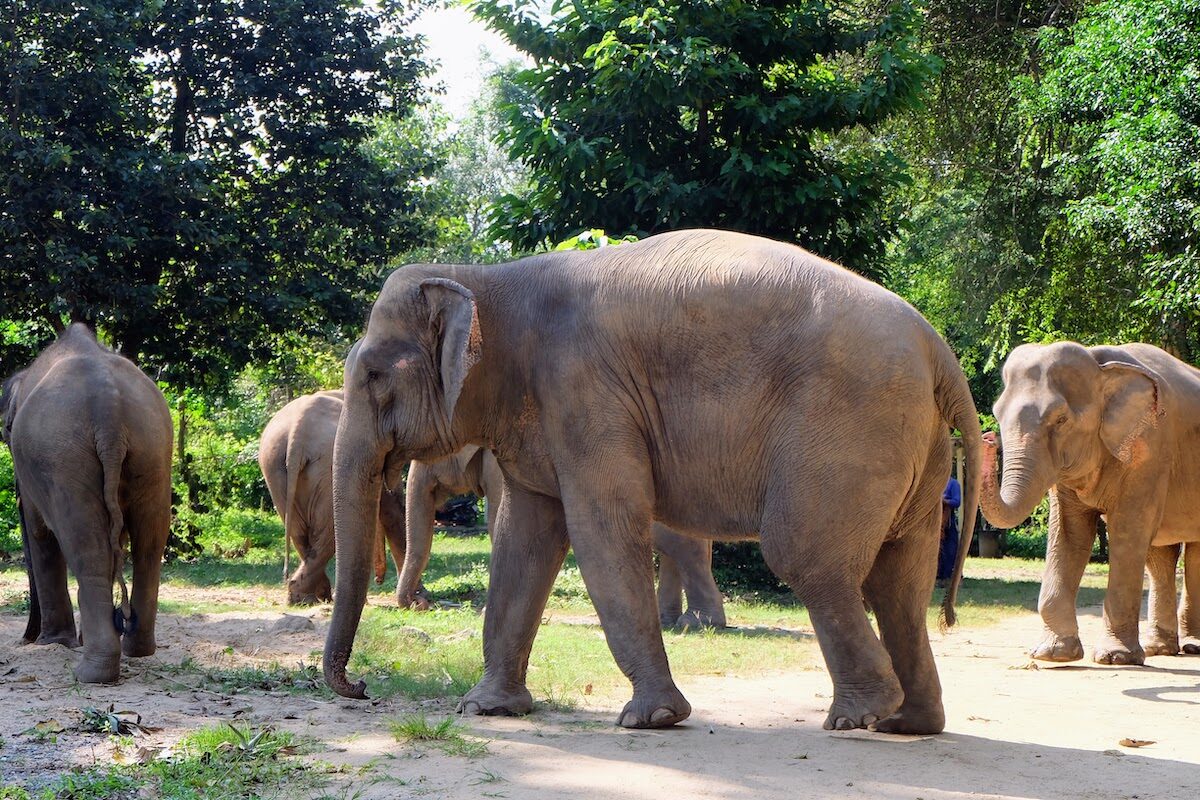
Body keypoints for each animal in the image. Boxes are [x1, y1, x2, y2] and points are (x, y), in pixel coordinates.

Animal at [0, 324, 172, 684]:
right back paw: (136, 649)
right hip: (153, 445)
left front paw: (53, 644)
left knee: (85, 546)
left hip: (63, 458)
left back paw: (92, 672)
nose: (26, 638)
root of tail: (109, 411)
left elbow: (39, 533)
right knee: (149, 542)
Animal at [259, 390, 407, 605]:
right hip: (324, 468)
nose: (379, 580)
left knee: (299, 532)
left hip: (274, 465)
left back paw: (306, 598)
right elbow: (391, 507)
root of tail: (299, 432)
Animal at [980, 341, 1200, 664]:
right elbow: (1070, 534)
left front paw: (1115, 658)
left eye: (1061, 420)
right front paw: (1052, 654)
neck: (1100, 366)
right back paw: (1160, 649)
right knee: (1161, 555)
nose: (987, 438)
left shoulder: (1151, 449)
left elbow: (1128, 531)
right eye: (997, 415)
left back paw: (1191, 647)